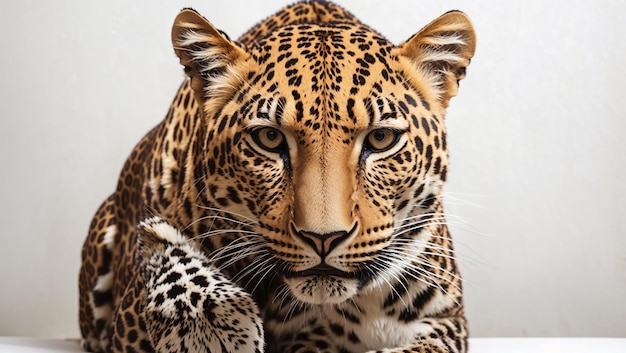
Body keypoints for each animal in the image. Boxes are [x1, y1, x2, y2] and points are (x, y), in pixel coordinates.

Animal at [79, 1, 472, 350]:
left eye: (381, 139)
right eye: (269, 138)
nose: (323, 239)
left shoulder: (447, 318)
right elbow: (168, 254)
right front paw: (209, 324)